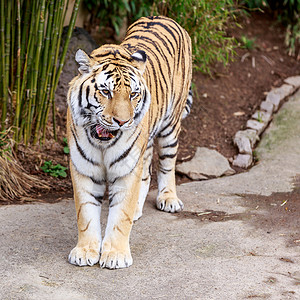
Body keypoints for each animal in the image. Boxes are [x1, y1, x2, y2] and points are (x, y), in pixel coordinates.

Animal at [66, 15, 192, 270]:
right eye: (105, 91)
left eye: (133, 94)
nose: (123, 121)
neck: (102, 143)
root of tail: (163, 16)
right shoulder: (84, 169)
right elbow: (85, 214)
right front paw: (85, 251)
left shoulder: (126, 170)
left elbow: (120, 217)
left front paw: (115, 255)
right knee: (145, 173)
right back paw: (137, 209)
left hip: (170, 127)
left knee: (167, 165)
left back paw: (168, 199)